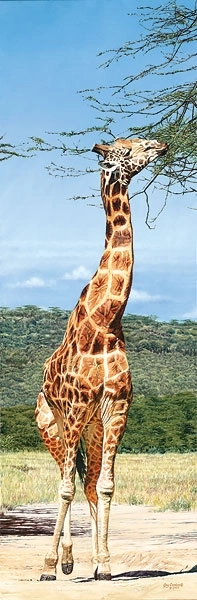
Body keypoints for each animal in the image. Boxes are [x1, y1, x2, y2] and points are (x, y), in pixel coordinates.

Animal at [35, 136, 168, 580]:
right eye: (127, 150)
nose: (161, 144)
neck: (106, 319)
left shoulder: (116, 409)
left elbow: (105, 485)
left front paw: (105, 565)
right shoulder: (76, 410)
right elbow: (65, 488)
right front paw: (48, 565)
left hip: (89, 429)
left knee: (89, 482)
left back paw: (87, 561)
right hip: (53, 426)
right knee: (65, 479)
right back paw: (61, 561)